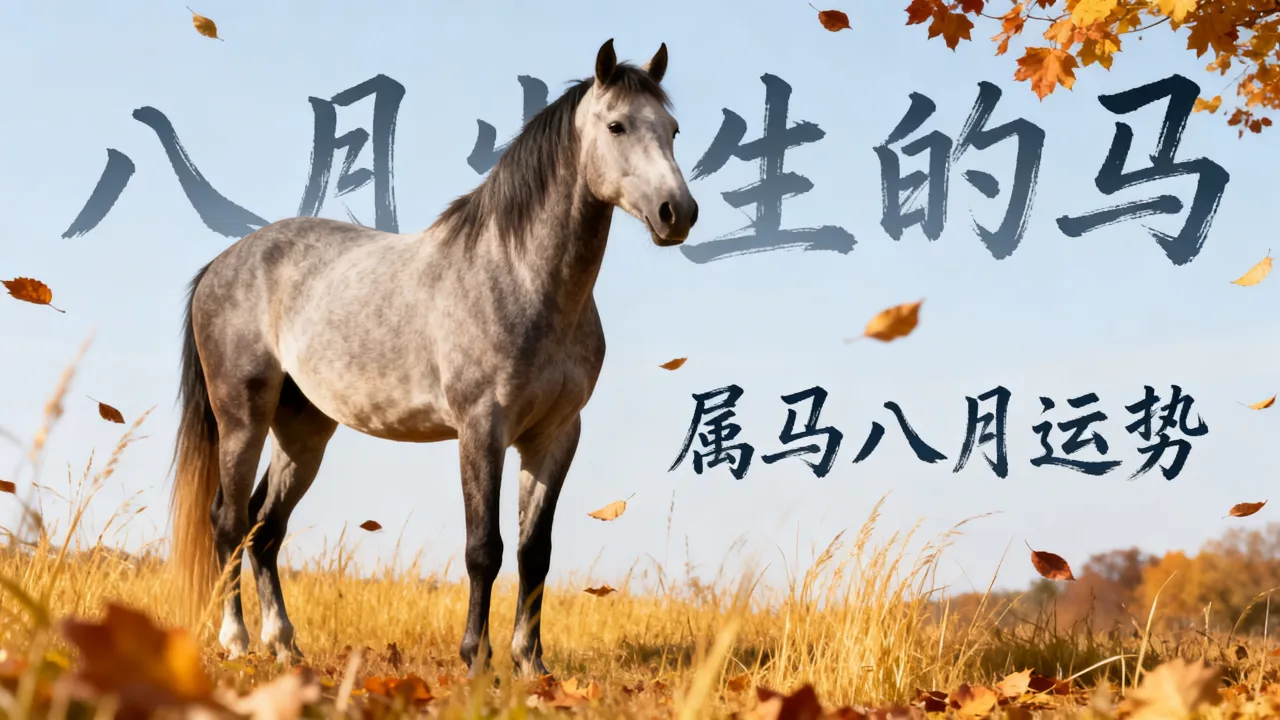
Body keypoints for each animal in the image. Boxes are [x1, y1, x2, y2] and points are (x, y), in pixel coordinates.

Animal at [167, 38, 697, 677]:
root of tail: (221, 263)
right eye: (616, 125)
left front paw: (532, 666)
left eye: (672, 129)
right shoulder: (481, 428)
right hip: (242, 417)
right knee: (230, 521)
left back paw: (285, 644)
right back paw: (237, 640)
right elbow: (484, 549)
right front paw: (477, 660)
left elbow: (534, 551)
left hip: (304, 428)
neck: (519, 276)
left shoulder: (555, 435)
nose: (677, 213)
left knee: (267, 529)